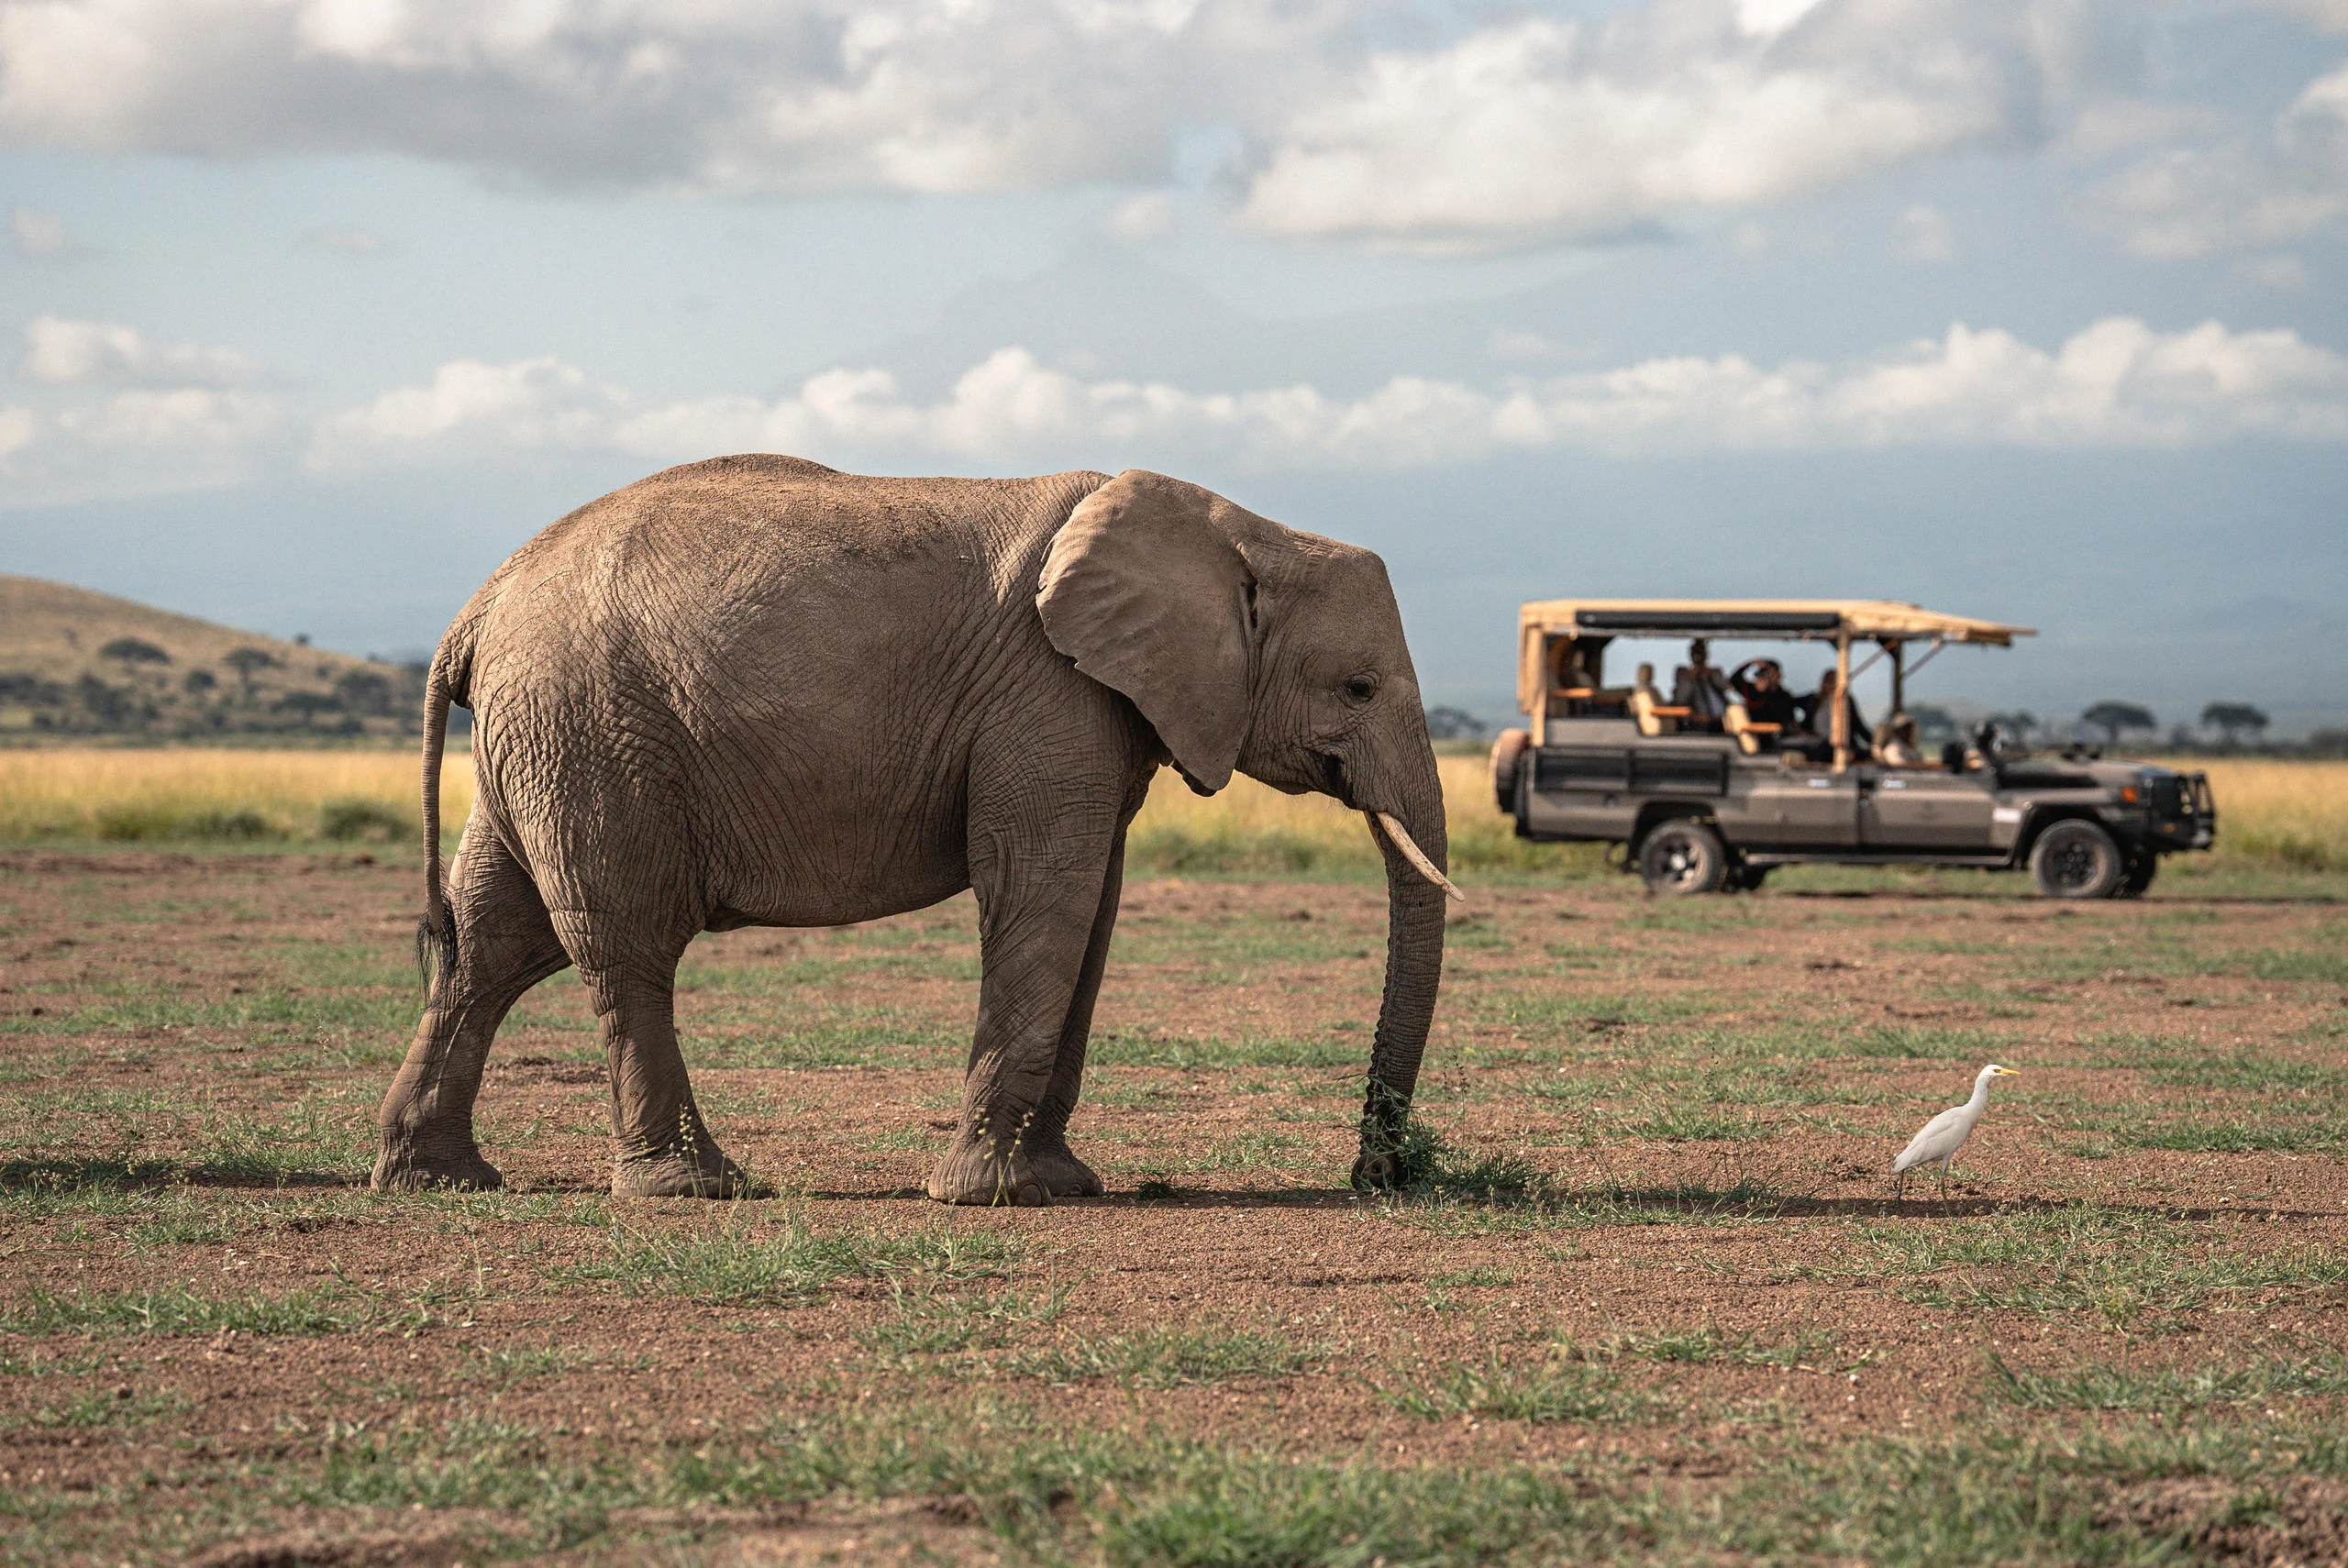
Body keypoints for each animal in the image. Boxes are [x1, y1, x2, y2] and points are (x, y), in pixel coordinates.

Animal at [371, 456, 1457, 1205]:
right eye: (1358, 688)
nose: (1381, 1169)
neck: (1239, 530)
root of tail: (476, 610)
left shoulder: (1100, 713)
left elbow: (1094, 910)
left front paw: (1060, 1184)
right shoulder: (1046, 695)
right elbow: (1044, 892)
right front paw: (992, 1197)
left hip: (539, 738)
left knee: (492, 944)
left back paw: (437, 1179)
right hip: (592, 732)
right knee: (623, 945)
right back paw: (694, 1189)